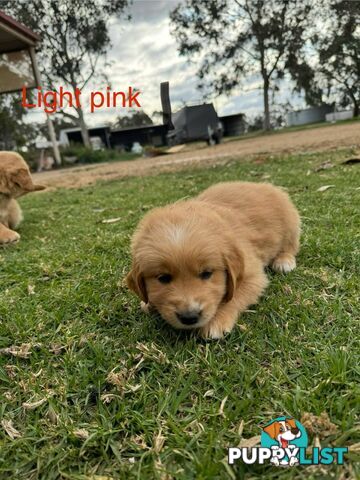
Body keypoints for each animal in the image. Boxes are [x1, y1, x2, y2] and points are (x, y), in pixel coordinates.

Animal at [125, 182, 300, 340]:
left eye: (207, 273)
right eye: (163, 278)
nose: (189, 317)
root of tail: (262, 184)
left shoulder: (253, 275)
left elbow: (233, 296)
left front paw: (216, 322)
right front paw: (149, 304)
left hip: (291, 222)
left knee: (291, 245)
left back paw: (284, 261)